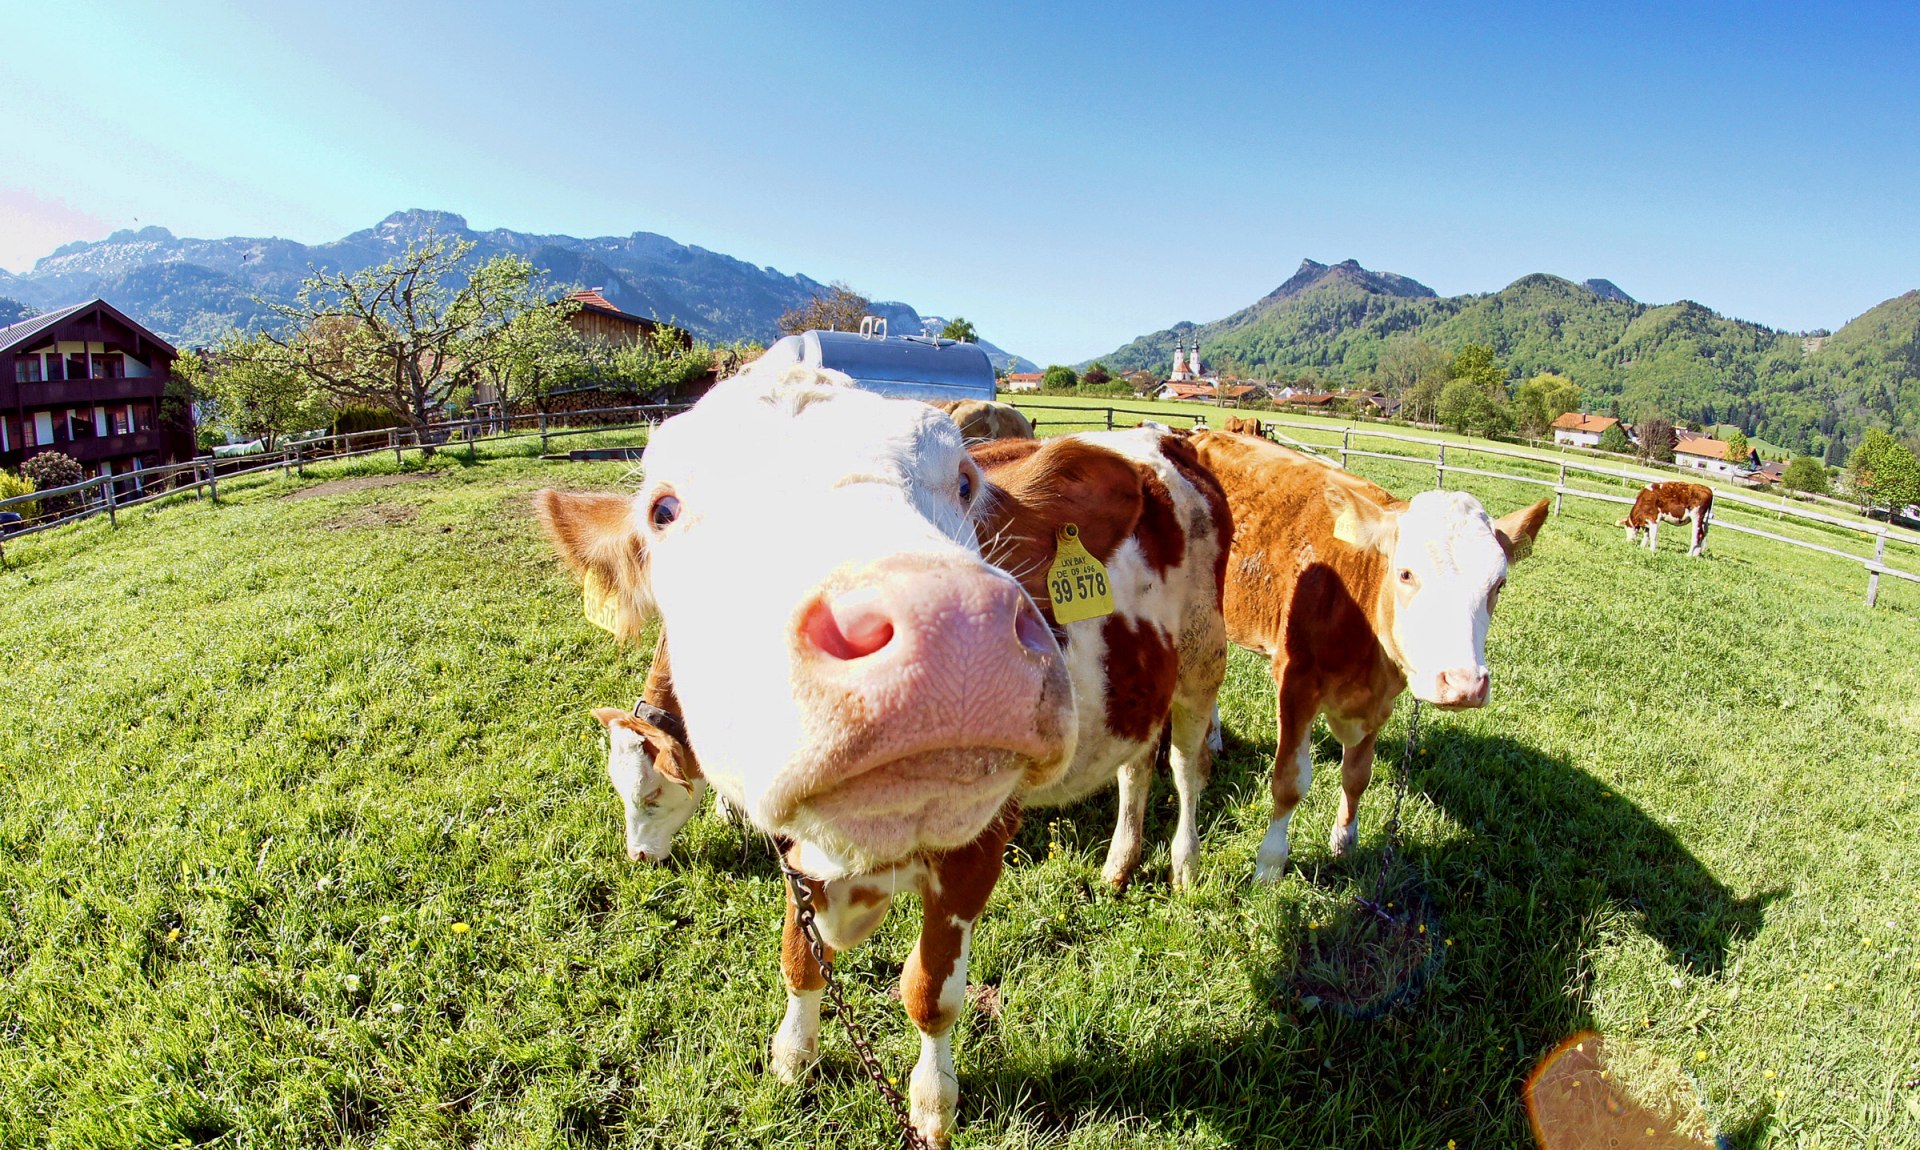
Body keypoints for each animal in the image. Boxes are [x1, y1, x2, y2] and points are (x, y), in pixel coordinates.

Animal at [537, 364, 1228, 1144]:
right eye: (663, 509)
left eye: (965, 482)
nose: (950, 627)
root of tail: (1165, 436)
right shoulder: (794, 850)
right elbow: (801, 959)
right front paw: (794, 1057)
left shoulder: (980, 840)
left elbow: (929, 993)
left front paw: (932, 1106)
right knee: (1136, 767)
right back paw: (1118, 864)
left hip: (1202, 657)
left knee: (1186, 765)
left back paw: (1183, 863)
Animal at [1190, 431, 1551, 883]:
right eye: (1406, 573)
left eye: (1498, 584)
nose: (1465, 684)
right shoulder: (1296, 682)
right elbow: (1289, 782)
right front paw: (1270, 864)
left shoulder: (1382, 698)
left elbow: (1357, 776)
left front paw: (1345, 841)